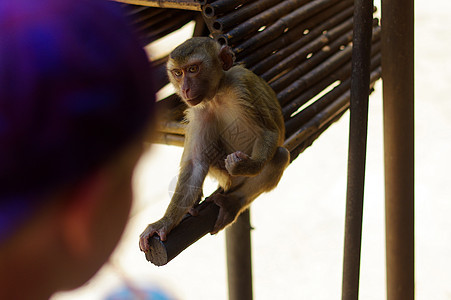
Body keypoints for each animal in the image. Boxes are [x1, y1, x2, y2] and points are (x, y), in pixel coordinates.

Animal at [139, 37, 292, 253]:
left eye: (193, 69)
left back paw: (233, 203)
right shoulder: (199, 112)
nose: (185, 88)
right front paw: (164, 223)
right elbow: (196, 163)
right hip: (223, 176)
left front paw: (245, 165)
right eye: (178, 73)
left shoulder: (241, 85)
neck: (217, 94)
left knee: (279, 156)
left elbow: (269, 132)